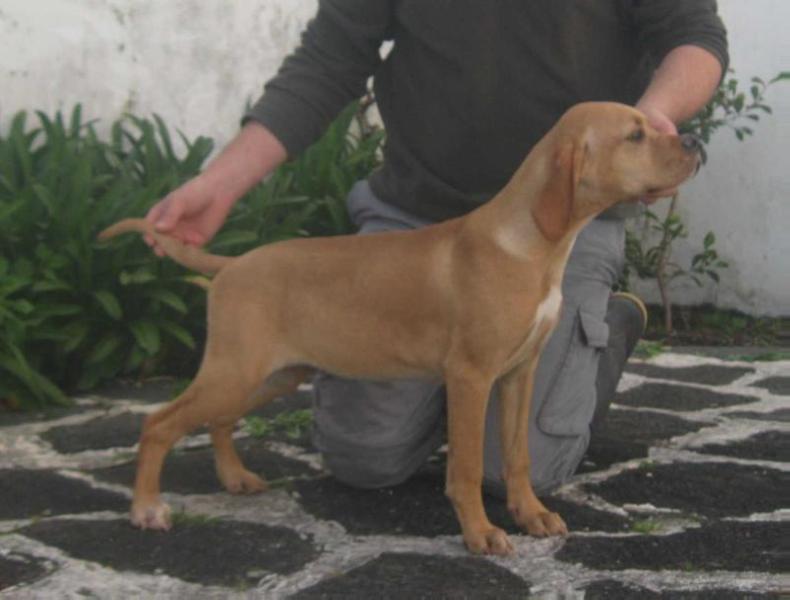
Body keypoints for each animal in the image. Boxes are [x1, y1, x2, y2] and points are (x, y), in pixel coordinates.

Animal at [100, 101, 704, 556]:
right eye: (635, 135)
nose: (695, 142)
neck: (532, 245)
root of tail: (231, 265)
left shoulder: (520, 373)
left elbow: (517, 456)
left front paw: (531, 514)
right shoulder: (470, 376)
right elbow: (466, 466)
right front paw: (481, 533)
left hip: (271, 374)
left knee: (219, 420)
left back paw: (234, 478)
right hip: (236, 368)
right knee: (159, 423)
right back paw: (147, 508)